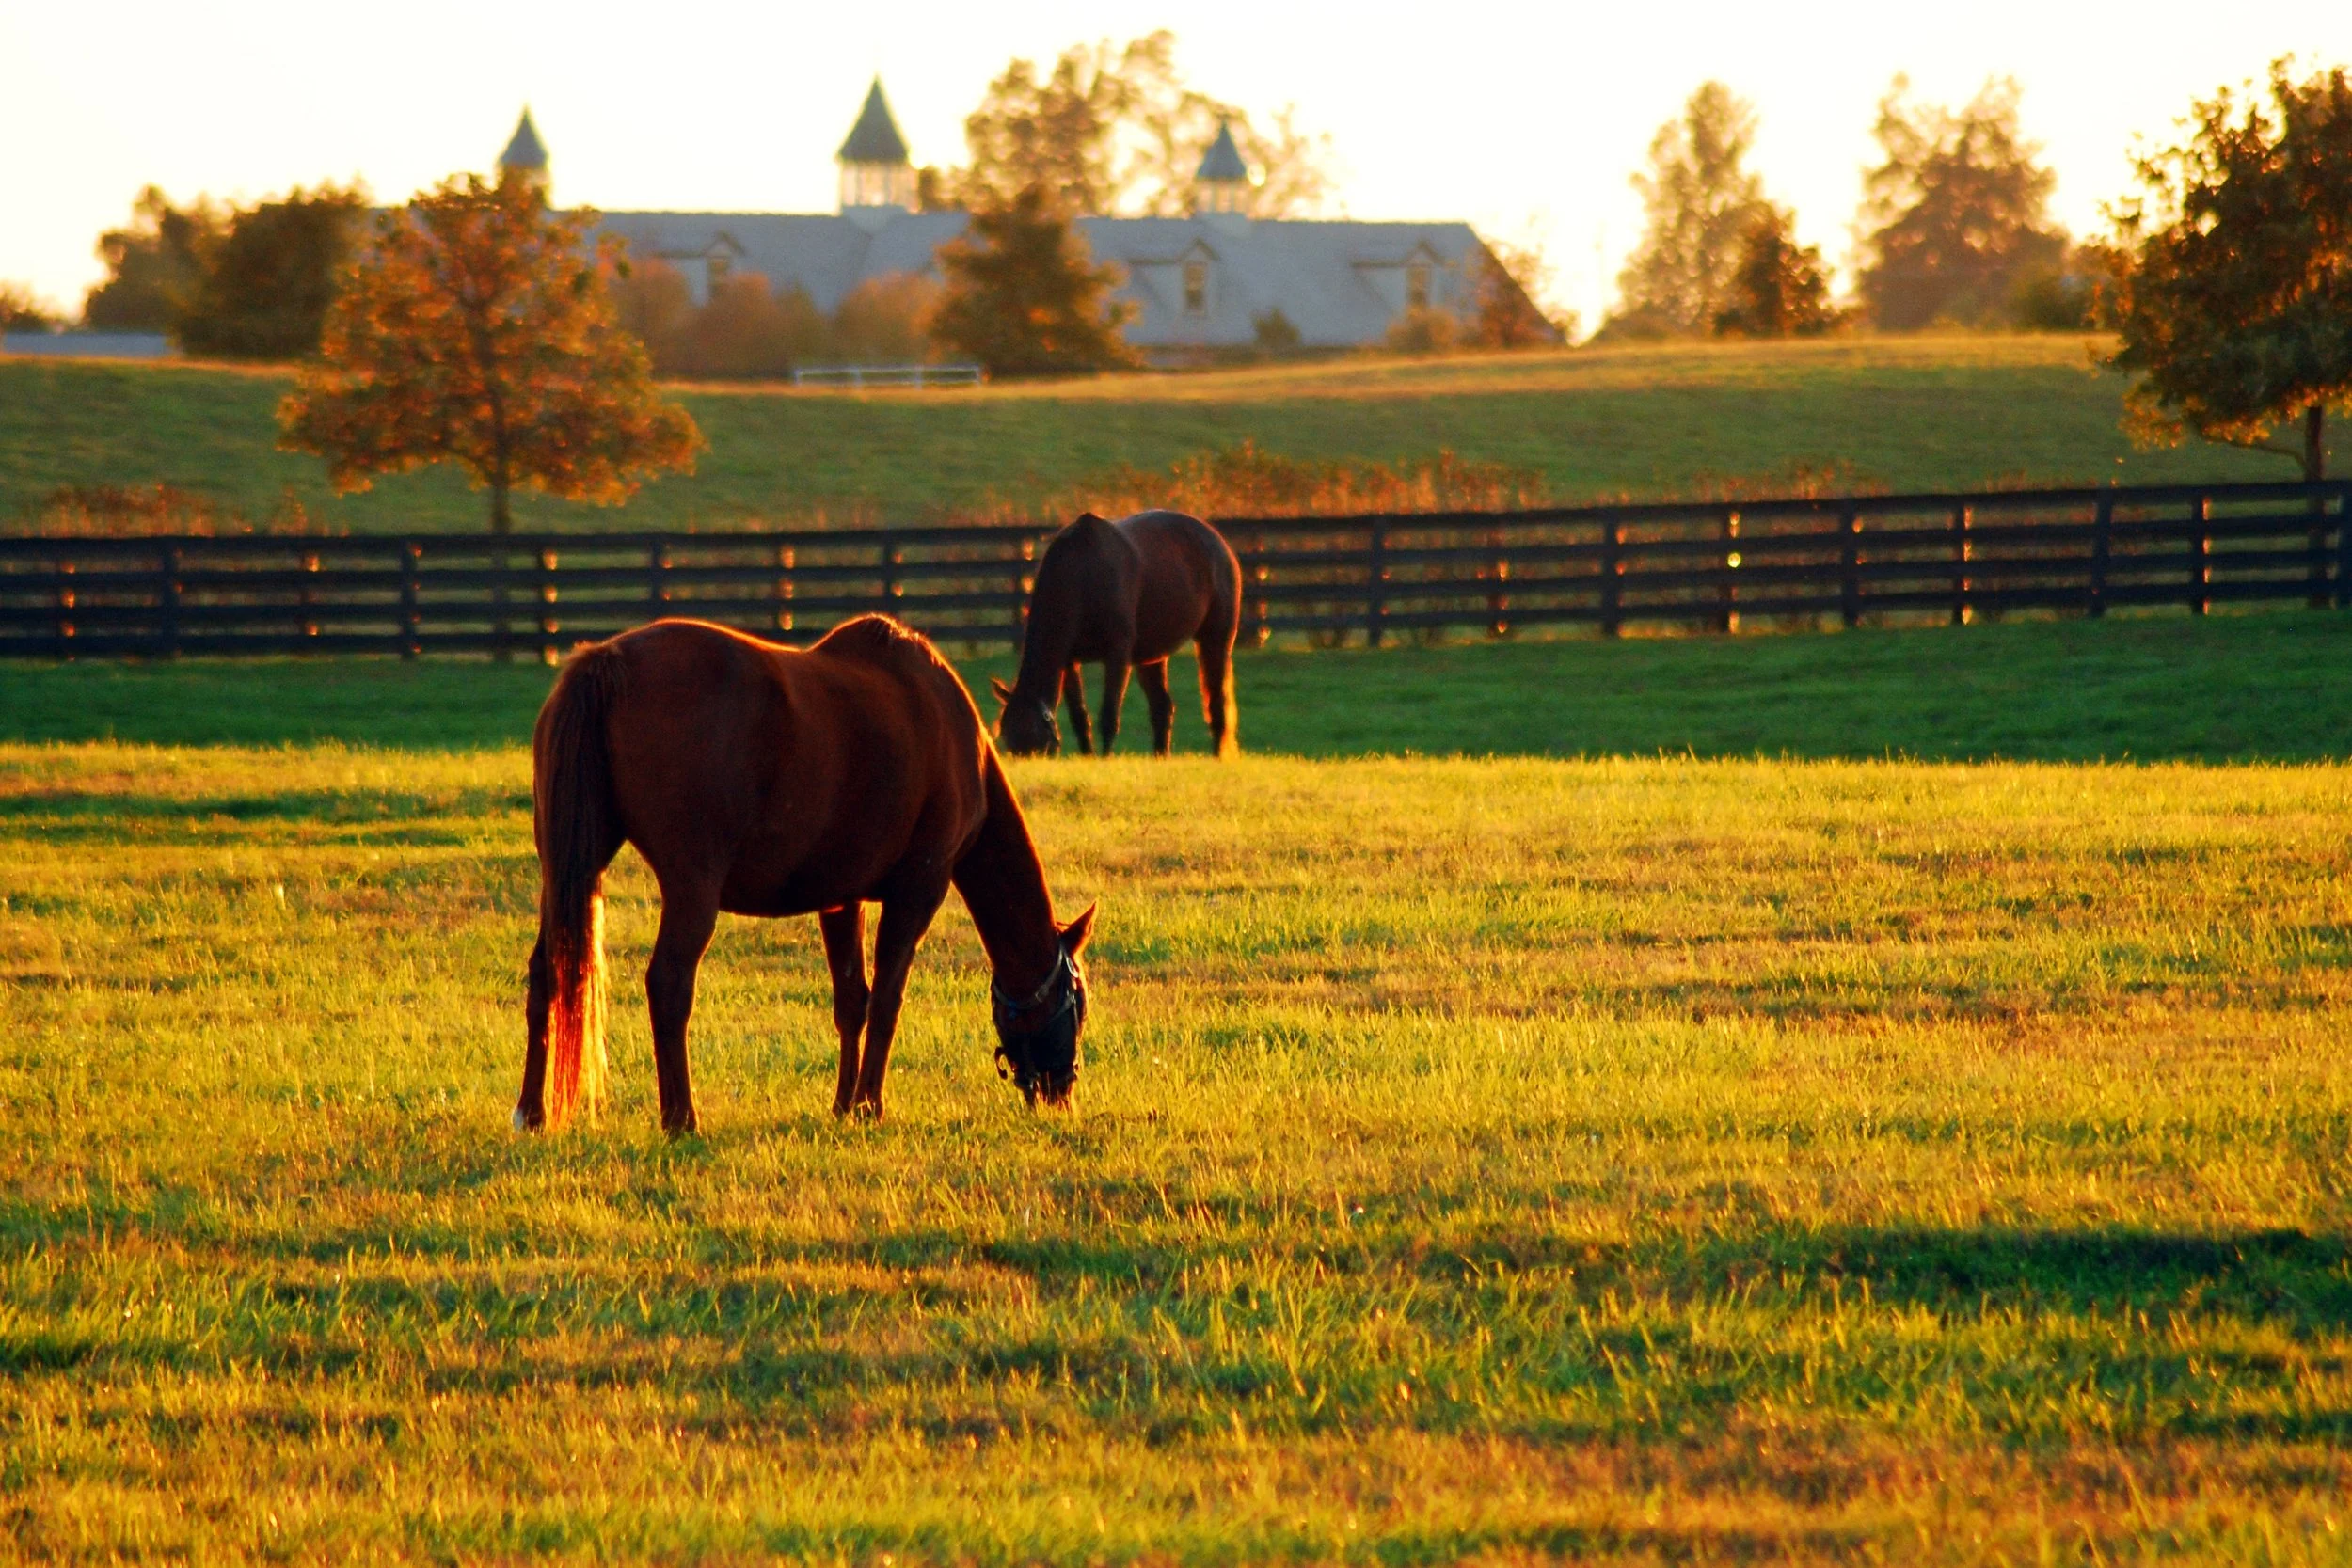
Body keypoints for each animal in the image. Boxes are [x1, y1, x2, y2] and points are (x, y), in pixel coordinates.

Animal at [517, 614, 1096, 1135]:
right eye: (1079, 998)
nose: (1061, 1091)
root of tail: (608, 661)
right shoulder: (919, 889)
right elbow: (887, 999)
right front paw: (869, 1105)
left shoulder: (841, 898)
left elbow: (852, 1001)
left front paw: (843, 1105)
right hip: (691, 887)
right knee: (669, 983)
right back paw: (681, 1118)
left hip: (567, 867)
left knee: (547, 971)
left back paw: (532, 1113)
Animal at [990, 509, 1242, 759]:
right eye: (1007, 740)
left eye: (1035, 741)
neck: (1084, 573)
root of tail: (1218, 542)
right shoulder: (1069, 661)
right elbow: (1079, 716)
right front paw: (1088, 758)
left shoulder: (1117, 655)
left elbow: (1109, 715)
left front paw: (1105, 759)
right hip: (1151, 654)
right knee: (1162, 708)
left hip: (1214, 640)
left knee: (1216, 701)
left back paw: (1217, 756)